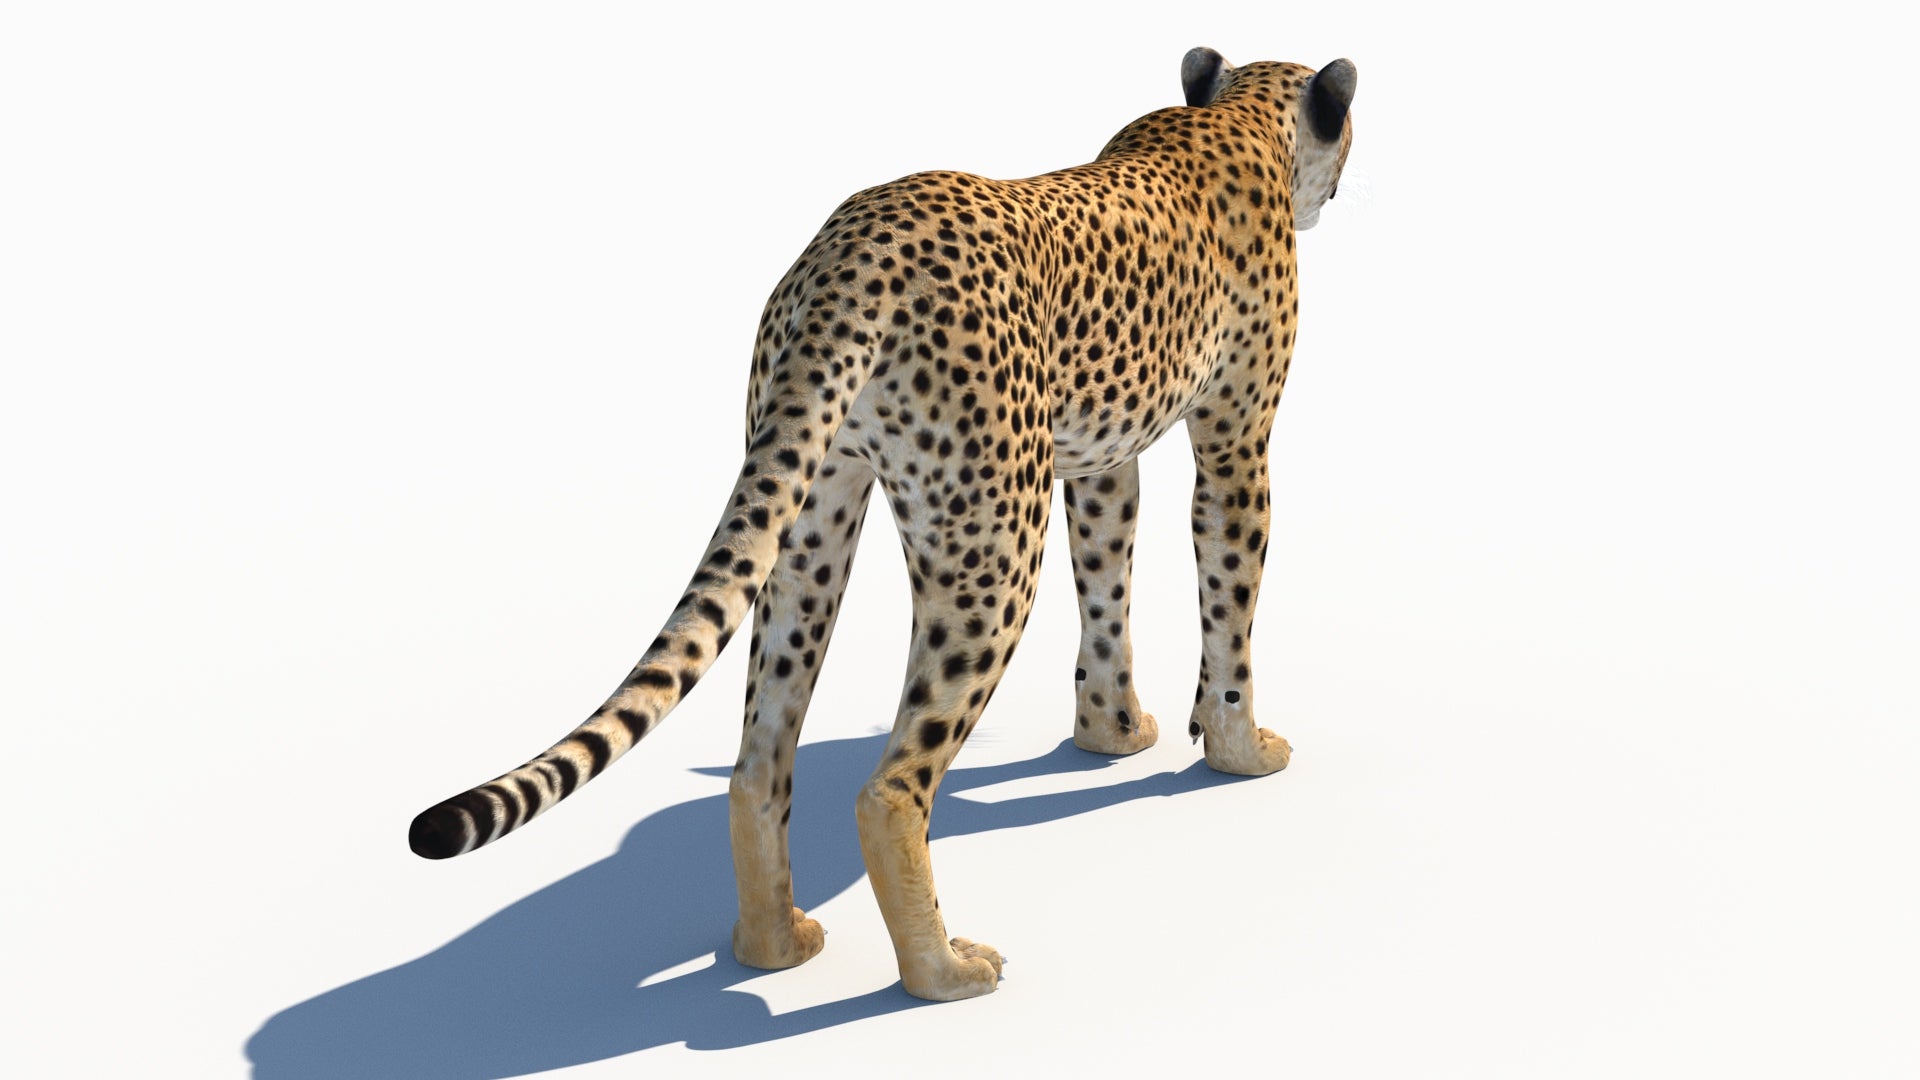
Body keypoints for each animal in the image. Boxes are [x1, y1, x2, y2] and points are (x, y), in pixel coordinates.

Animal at [409, 47, 1357, 1001]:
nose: (1334, 191)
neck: (1236, 115)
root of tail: (858, 243)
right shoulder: (1233, 441)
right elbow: (1229, 602)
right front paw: (1238, 748)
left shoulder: (1098, 460)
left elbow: (1106, 592)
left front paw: (1113, 733)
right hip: (991, 544)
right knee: (892, 785)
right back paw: (940, 970)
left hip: (809, 518)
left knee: (759, 760)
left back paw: (775, 945)